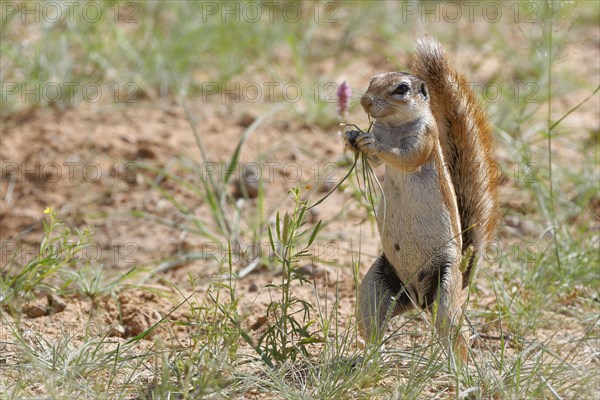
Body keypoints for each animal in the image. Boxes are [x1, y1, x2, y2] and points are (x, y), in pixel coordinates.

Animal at [344, 36, 500, 360]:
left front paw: (371, 143)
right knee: (373, 326)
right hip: (375, 287)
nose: (365, 102)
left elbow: (405, 157)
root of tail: (418, 300)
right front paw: (352, 137)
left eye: (402, 88)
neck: (392, 126)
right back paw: (368, 359)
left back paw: (459, 367)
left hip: (446, 285)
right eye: (373, 79)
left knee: (453, 333)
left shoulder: (424, 139)